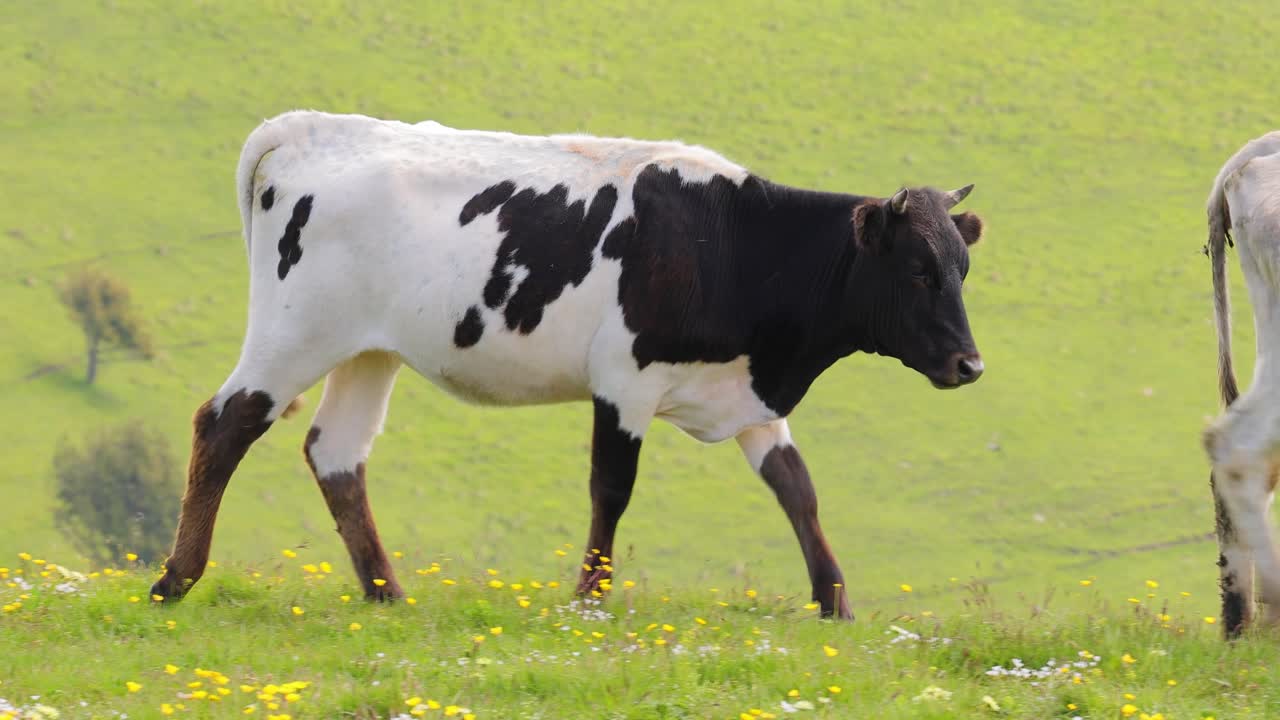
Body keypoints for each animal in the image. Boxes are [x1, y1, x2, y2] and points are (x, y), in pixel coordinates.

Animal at [150, 111, 986, 619]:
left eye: (962, 266)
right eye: (918, 271)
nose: (970, 364)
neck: (733, 244)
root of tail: (315, 128)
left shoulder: (748, 394)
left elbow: (797, 491)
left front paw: (835, 603)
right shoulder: (625, 381)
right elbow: (611, 489)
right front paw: (588, 599)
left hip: (367, 350)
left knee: (336, 453)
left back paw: (387, 593)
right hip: (295, 332)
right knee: (224, 423)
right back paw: (175, 579)